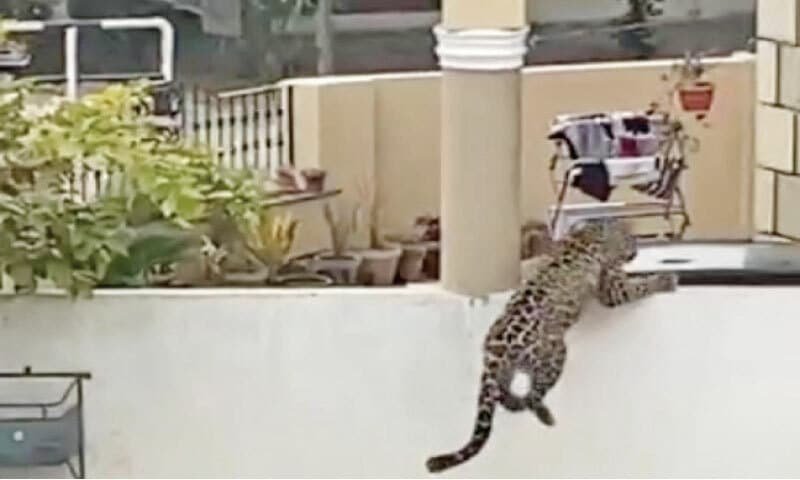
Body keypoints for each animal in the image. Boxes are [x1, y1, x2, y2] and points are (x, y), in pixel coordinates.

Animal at [426, 218, 677, 474]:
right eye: (629, 238)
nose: (636, 249)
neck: (589, 234)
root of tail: (495, 350)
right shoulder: (613, 288)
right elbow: (638, 286)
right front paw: (665, 279)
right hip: (554, 354)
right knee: (533, 394)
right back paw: (545, 415)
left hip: (505, 372)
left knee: (505, 397)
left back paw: (515, 400)